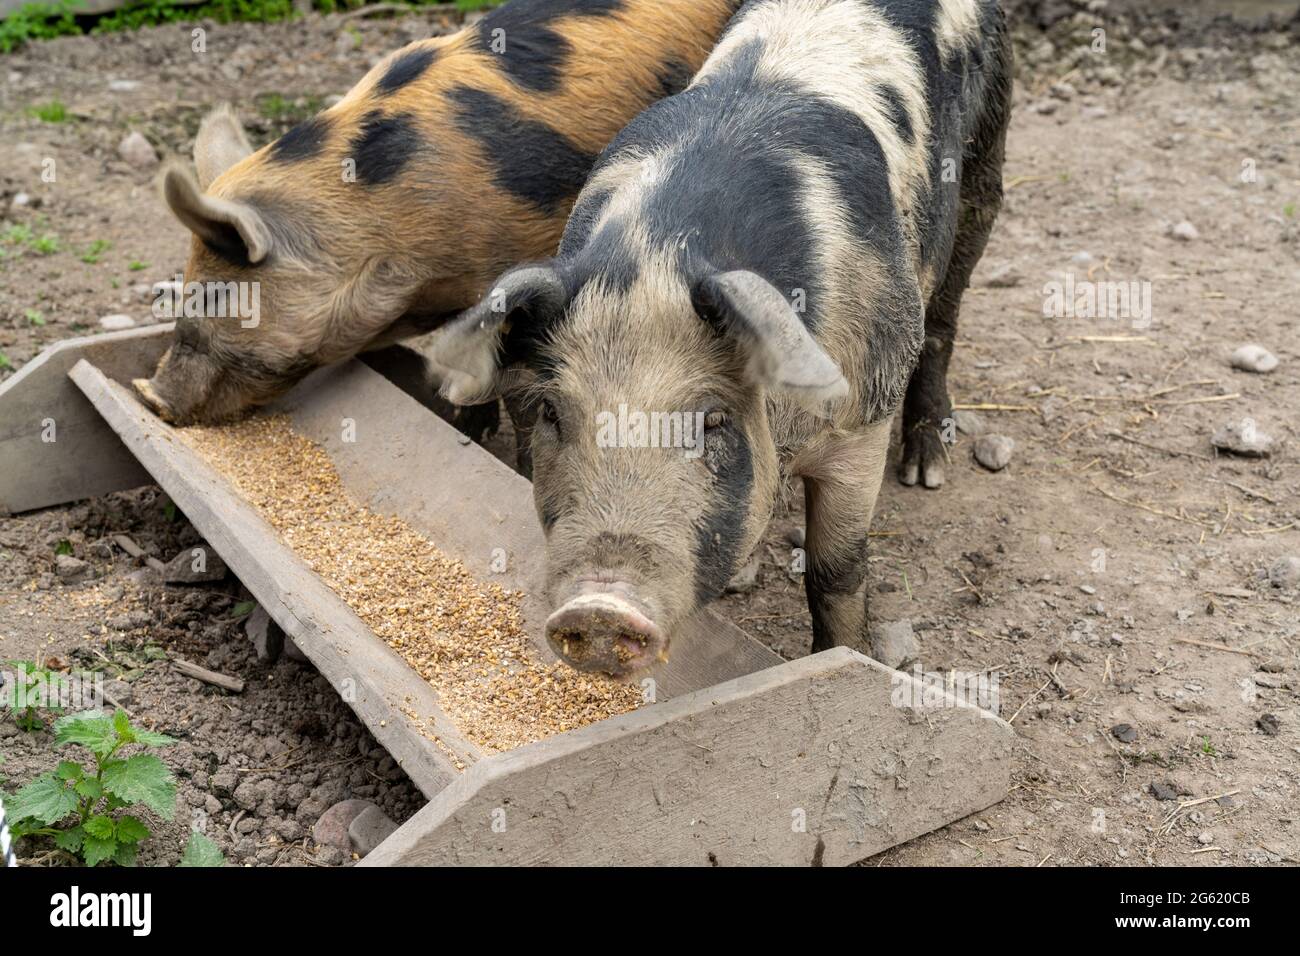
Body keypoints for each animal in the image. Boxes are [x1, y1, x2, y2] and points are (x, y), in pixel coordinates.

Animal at [428, 0, 1013, 681]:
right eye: (551, 412)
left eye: (711, 420)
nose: (599, 608)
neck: (657, 252)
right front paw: (741, 580)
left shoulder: (862, 420)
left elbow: (835, 568)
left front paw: (848, 656)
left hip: (985, 164)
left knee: (944, 320)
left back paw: (926, 470)